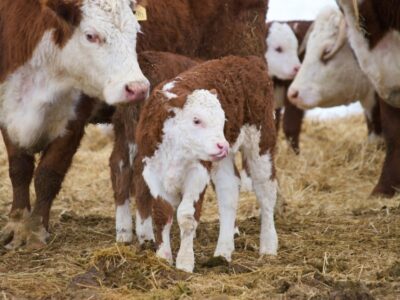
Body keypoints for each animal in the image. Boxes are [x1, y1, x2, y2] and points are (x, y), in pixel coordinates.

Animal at [133, 55, 276, 274]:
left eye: (222, 120)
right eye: (196, 120)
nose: (222, 145)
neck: (175, 148)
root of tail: (247, 61)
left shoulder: (198, 172)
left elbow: (186, 216)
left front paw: (184, 263)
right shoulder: (151, 171)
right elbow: (162, 213)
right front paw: (163, 258)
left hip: (261, 141)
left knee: (266, 190)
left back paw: (268, 247)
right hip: (222, 160)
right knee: (228, 190)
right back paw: (222, 253)